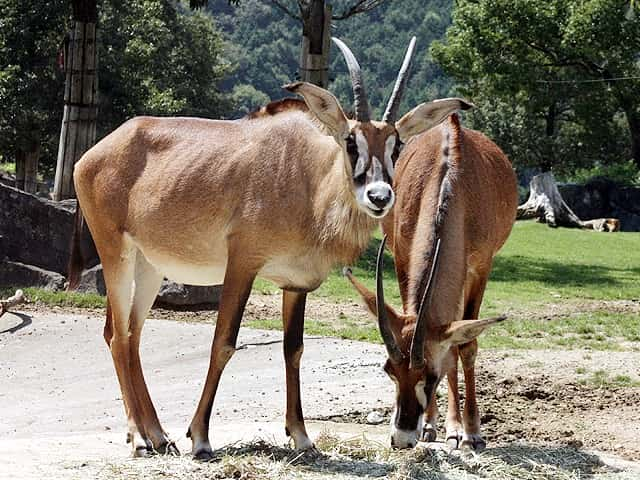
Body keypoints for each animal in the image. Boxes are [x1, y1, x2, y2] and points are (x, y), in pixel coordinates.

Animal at [69, 36, 470, 458]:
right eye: (350, 141)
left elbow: (294, 350)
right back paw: (141, 438)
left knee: (130, 335)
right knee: (118, 336)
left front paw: (302, 436)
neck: (308, 180)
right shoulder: (242, 265)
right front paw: (200, 437)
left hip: (149, 266)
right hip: (116, 252)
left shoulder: (295, 283)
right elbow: (223, 343)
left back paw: (158, 435)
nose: (379, 197)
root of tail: (91, 155)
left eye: (396, 146)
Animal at [344, 112, 520, 450]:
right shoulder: (403, 257)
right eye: (389, 370)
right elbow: (446, 343)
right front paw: (433, 425)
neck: (452, 181)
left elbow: (465, 345)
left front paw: (472, 432)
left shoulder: (481, 266)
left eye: (430, 375)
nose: (401, 437)